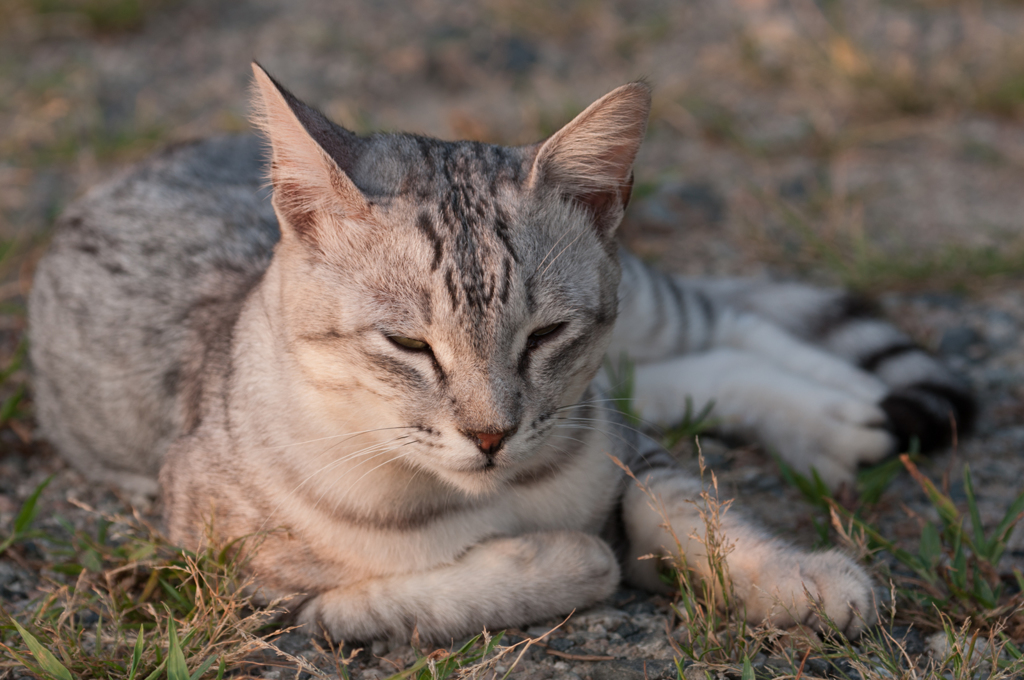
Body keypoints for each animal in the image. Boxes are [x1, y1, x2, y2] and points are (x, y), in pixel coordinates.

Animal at [28, 63, 970, 643]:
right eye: (409, 344)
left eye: (545, 334)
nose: (491, 434)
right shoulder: (232, 562)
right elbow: (426, 588)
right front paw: (560, 557)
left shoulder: (625, 444)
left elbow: (695, 512)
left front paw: (798, 578)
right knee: (685, 369)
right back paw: (843, 418)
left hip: (650, 312)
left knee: (732, 326)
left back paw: (845, 406)